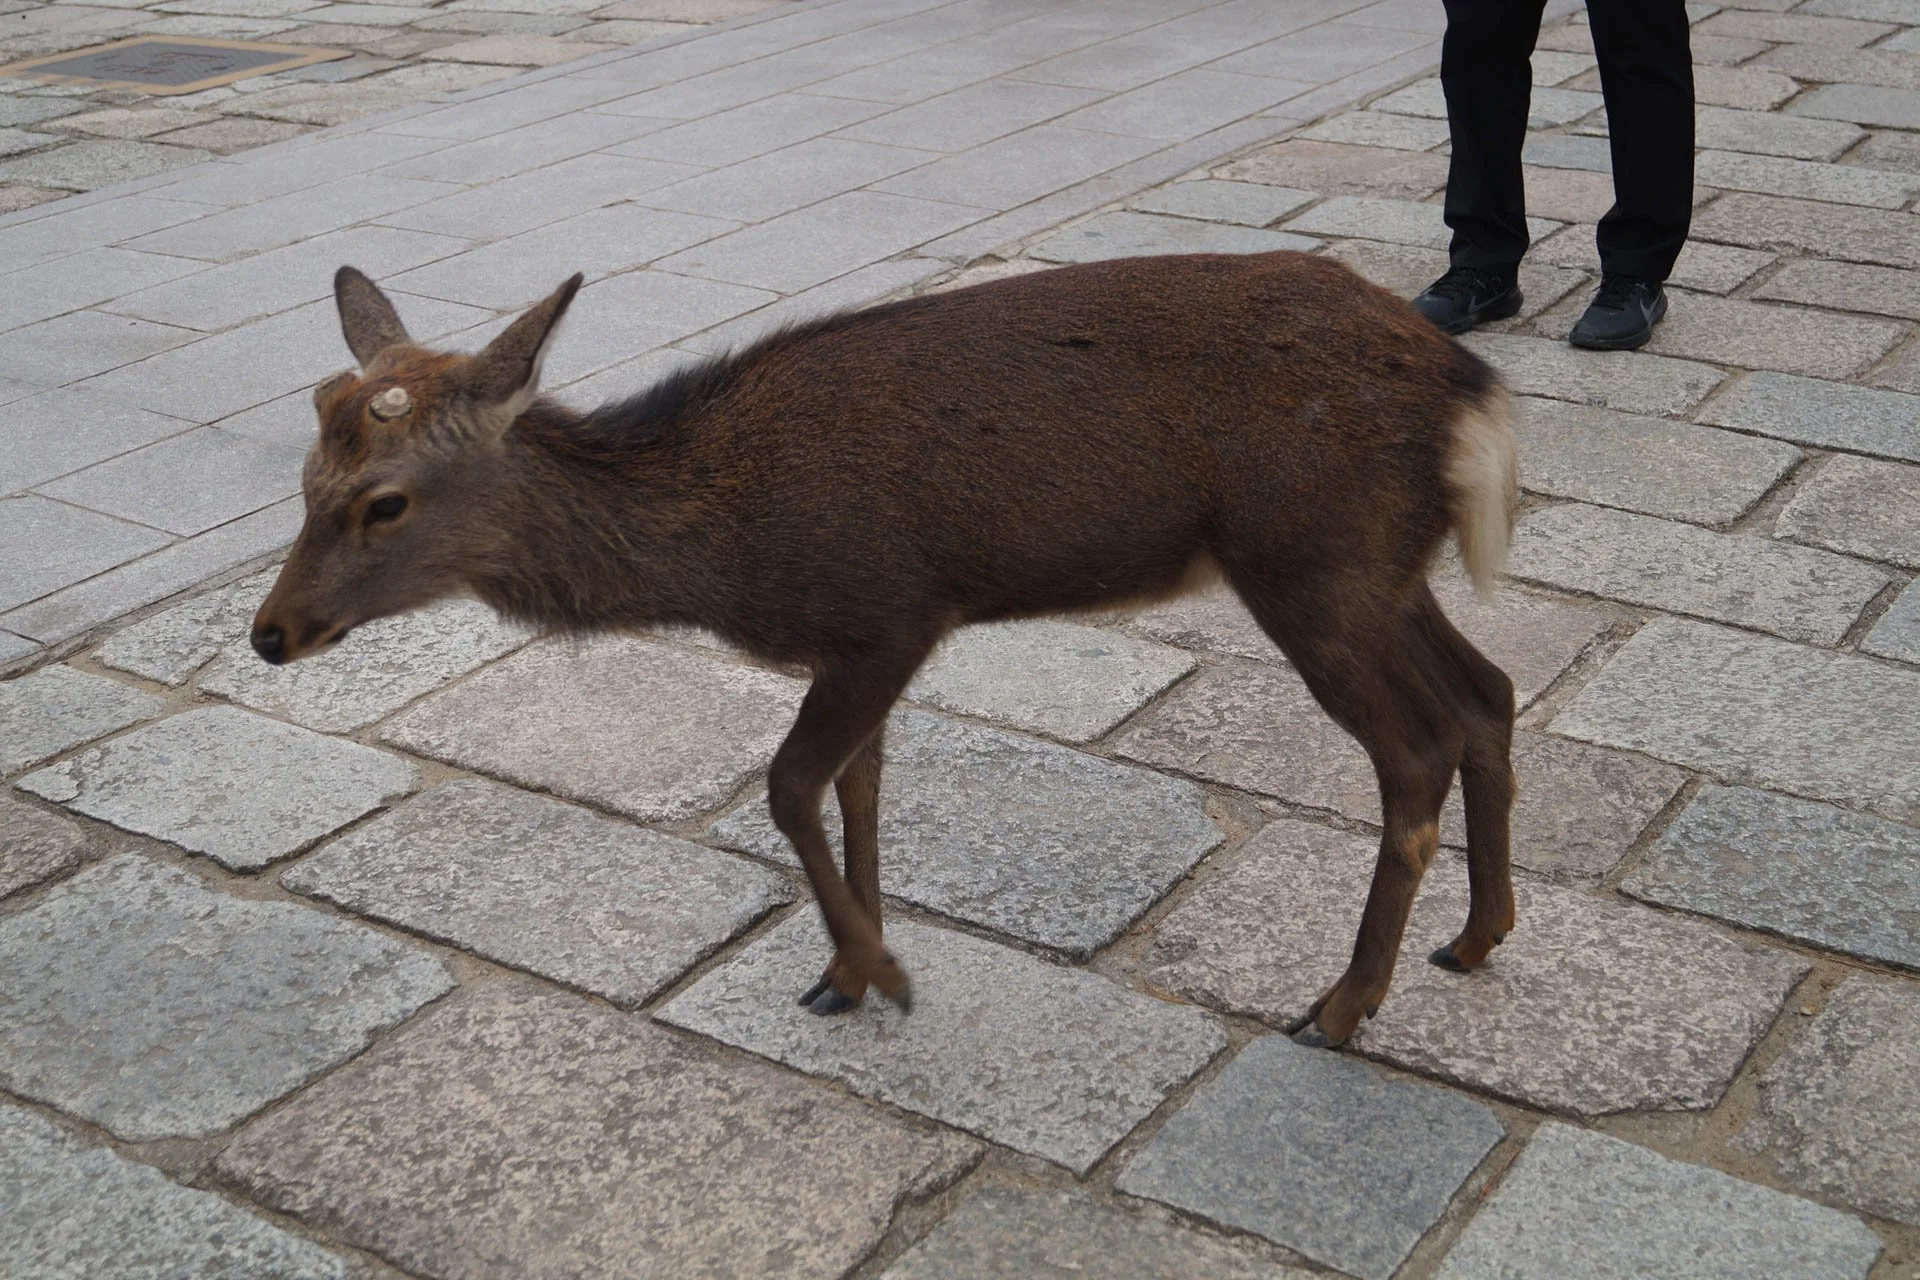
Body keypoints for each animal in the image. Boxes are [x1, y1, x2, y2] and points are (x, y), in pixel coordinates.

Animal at [252, 252, 1519, 1047]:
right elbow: (859, 784)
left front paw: (884, 973)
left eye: (383, 502)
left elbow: (790, 784)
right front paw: (844, 972)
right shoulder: (852, 640)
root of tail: (1473, 388)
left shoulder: (891, 608)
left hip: (1311, 558)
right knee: (1490, 692)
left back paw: (1343, 1006)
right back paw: (1474, 937)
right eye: (303, 478)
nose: (269, 632)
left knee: (1416, 747)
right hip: (1380, 567)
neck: (729, 550)